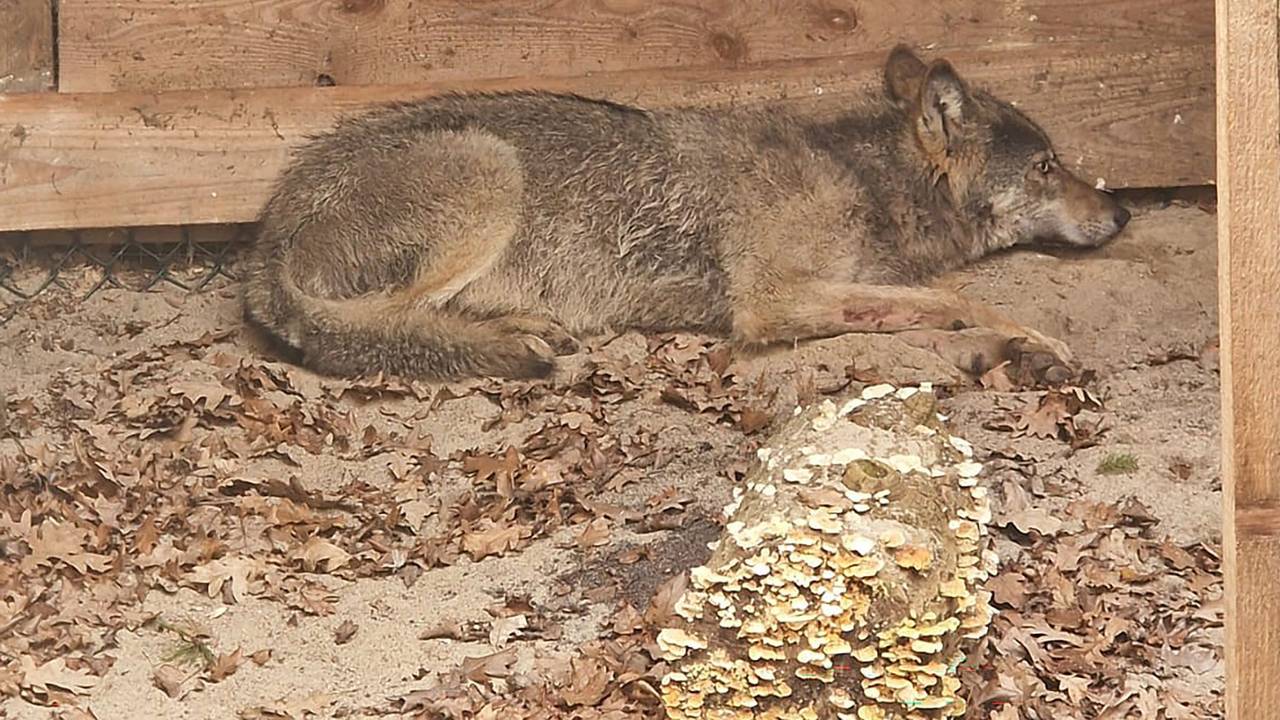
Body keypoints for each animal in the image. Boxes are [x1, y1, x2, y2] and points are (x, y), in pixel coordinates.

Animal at [240, 45, 1130, 382]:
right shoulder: (770, 303)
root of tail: (265, 236)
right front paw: (1031, 341)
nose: (1122, 212)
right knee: (379, 325)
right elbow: (956, 299)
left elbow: (931, 301)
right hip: (490, 170)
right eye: (1048, 167)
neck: (861, 178)